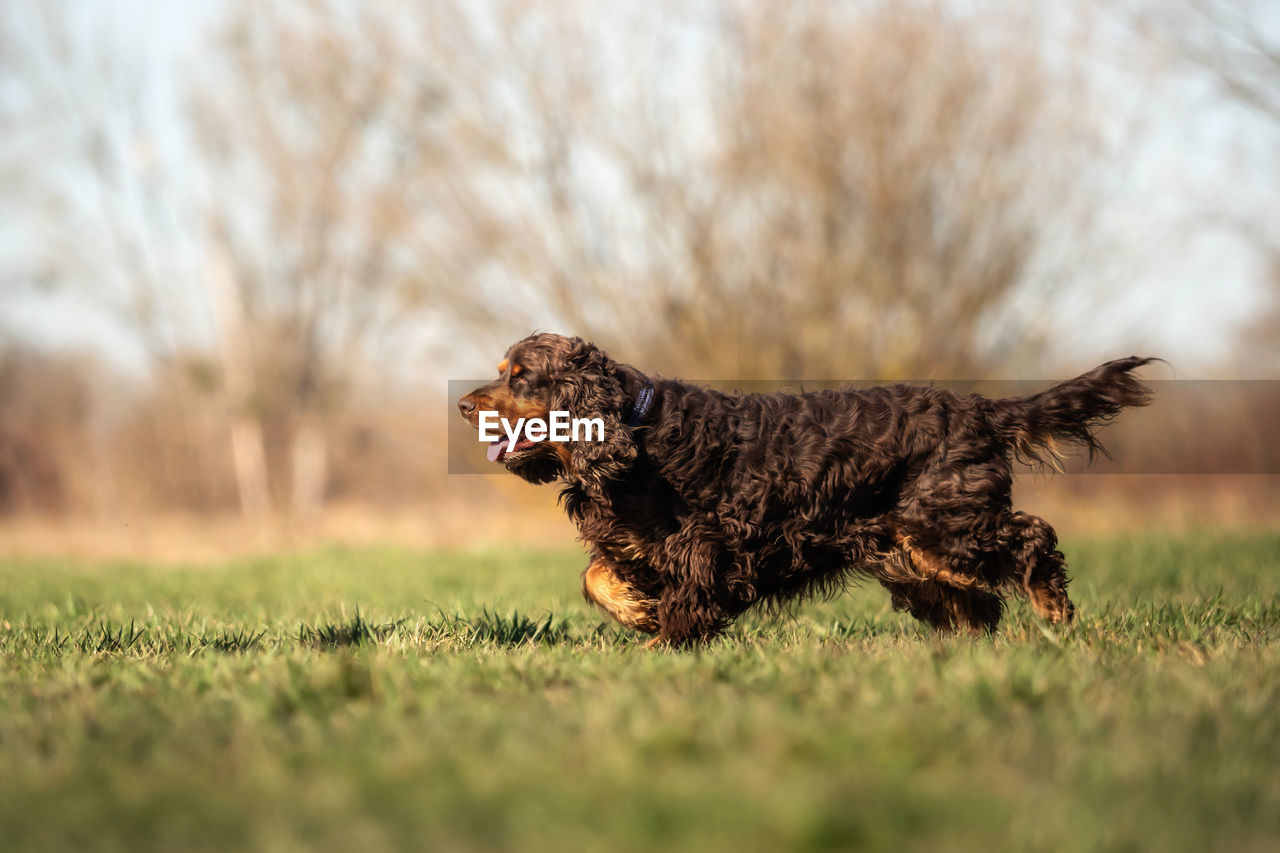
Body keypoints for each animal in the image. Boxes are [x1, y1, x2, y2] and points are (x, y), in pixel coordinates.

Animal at [455, 333, 1157, 645]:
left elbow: (687, 601)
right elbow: (596, 579)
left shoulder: (705, 544)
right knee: (977, 602)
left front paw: (661, 640)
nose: (463, 406)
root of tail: (982, 411)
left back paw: (1053, 613)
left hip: (941, 523)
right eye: (501, 372)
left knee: (1032, 537)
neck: (635, 434)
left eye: (520, 377)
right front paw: (637, 612)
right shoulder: (632, 542)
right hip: (906, 549)